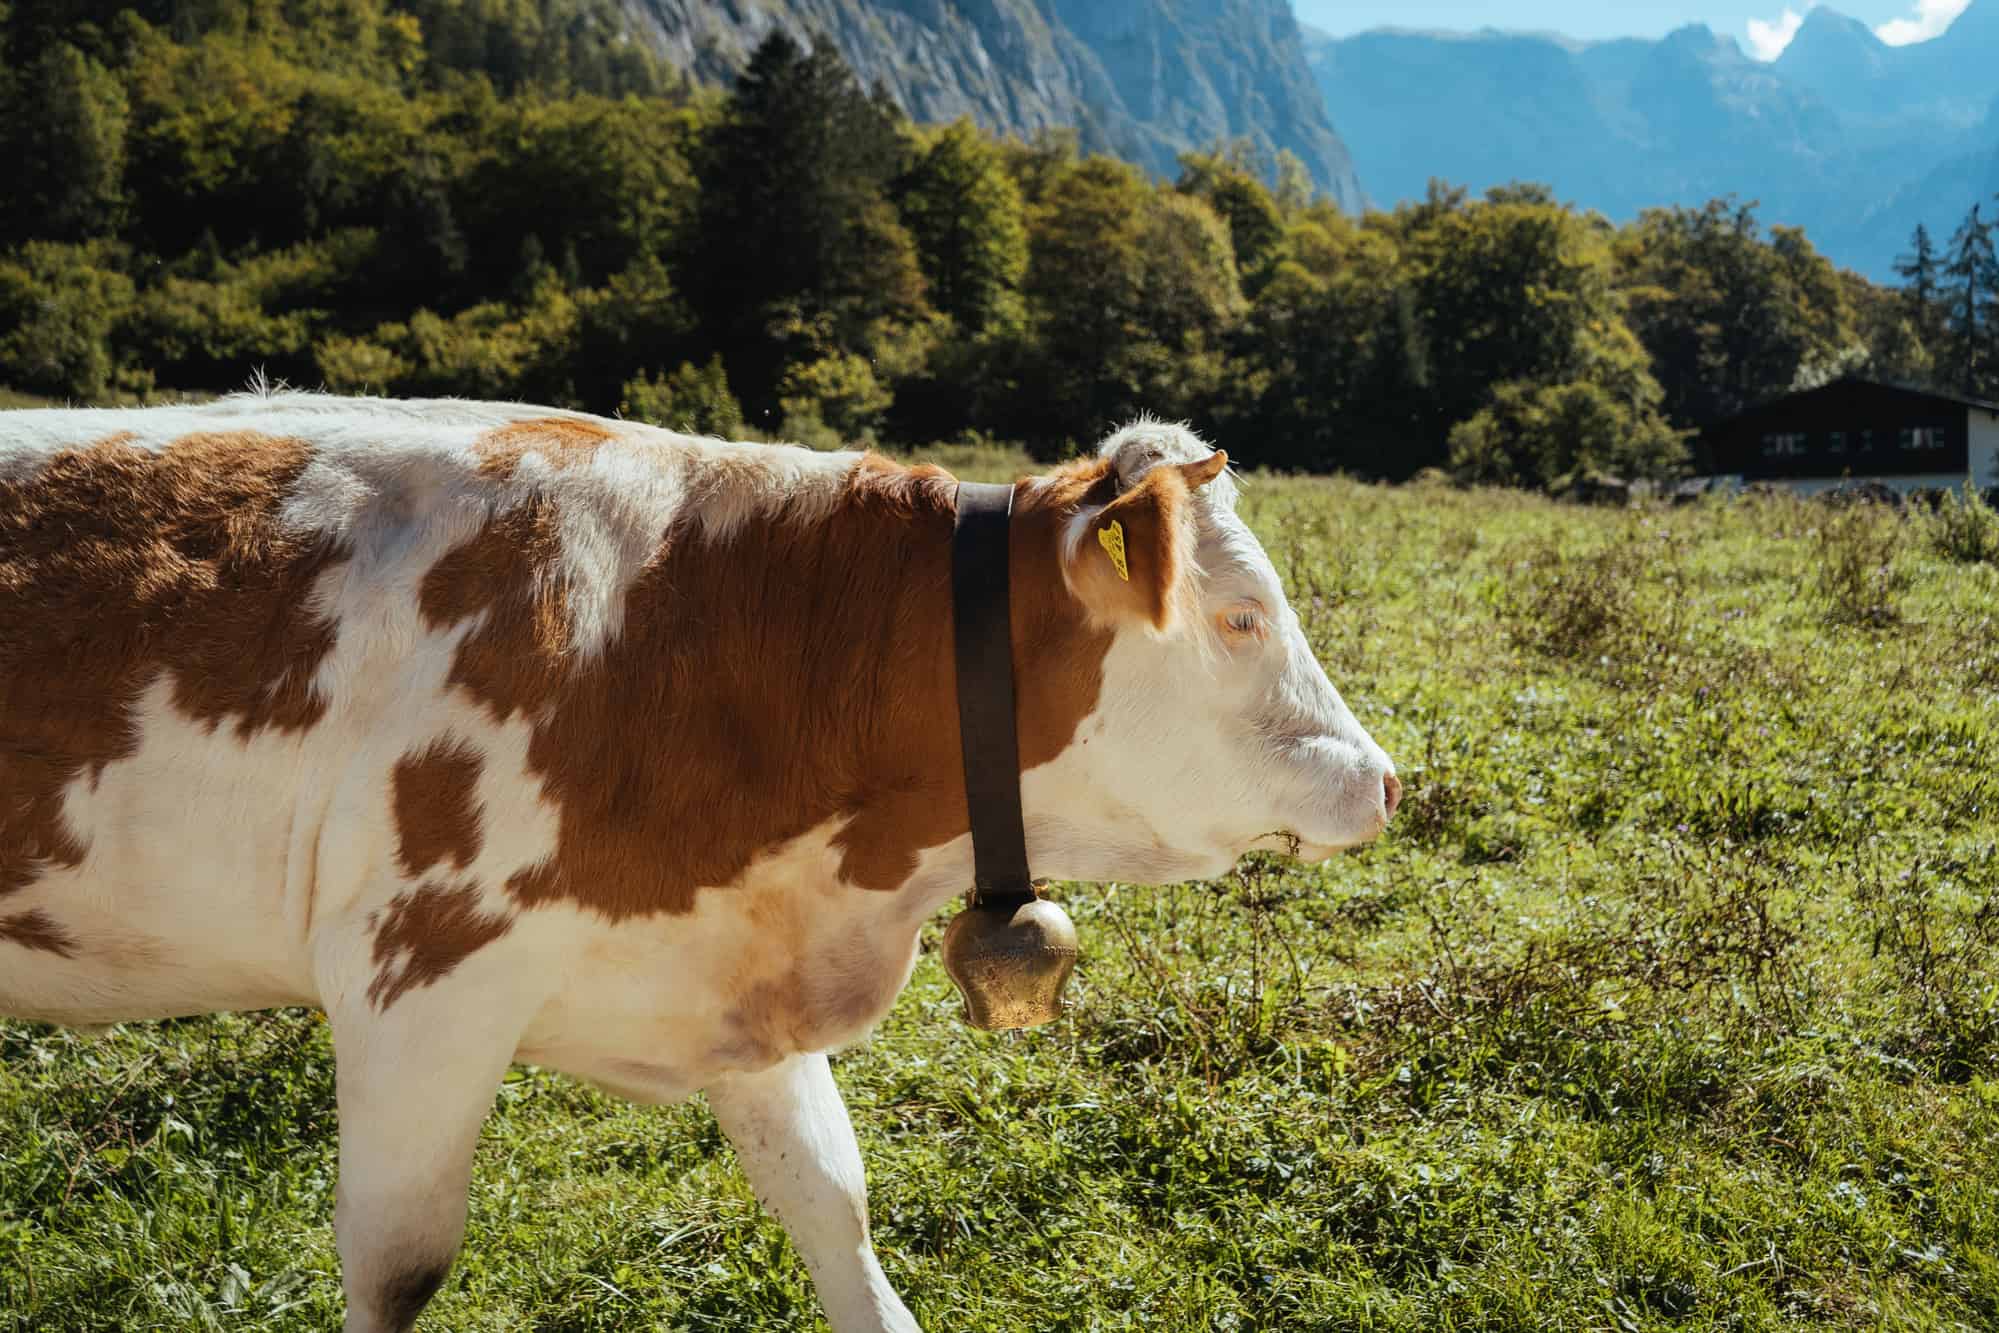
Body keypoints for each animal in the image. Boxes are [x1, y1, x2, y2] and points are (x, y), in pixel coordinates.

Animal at [0, 395, 1399, 1333]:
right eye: (1241, 618)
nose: (1383, 778)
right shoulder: (421, 976)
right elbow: (398, 1266)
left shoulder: (740, 966)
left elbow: (833, 1204)